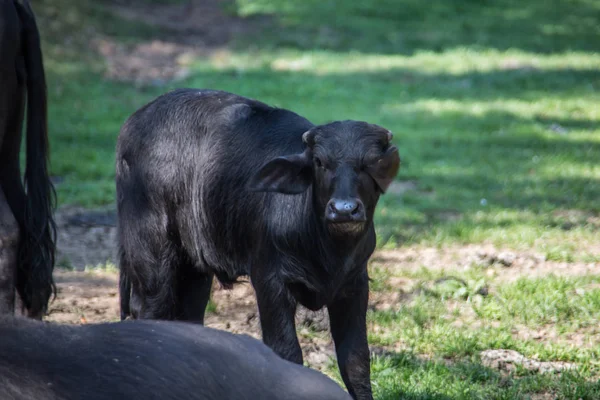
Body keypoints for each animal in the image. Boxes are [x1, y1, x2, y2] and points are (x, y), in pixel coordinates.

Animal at [115, 89, 400, 398]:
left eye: (370, 163)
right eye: (320, 162)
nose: (344, 210)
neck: (327, 249)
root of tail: (134, 123)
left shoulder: (355, 283)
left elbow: (356, 360)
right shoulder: (269, 281)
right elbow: (287, 352)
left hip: (193, 265)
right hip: (150, 251)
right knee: (150, 309)